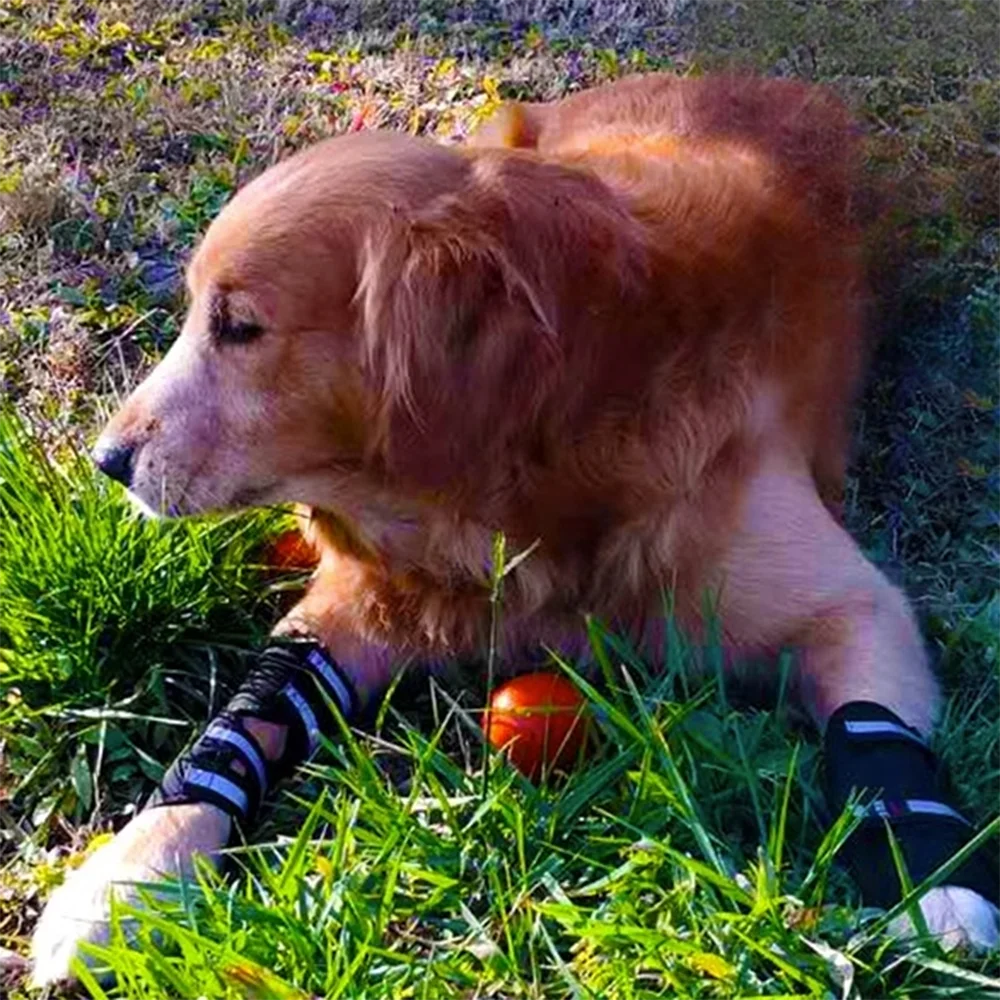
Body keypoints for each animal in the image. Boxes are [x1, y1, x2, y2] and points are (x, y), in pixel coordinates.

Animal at [31, 72, 1000, 984]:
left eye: (239, 327)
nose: (107, 460)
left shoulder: (854, 606)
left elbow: (873, 732)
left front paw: (931, 877)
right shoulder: (364, 602)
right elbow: (244, 719)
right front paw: (119, 878)